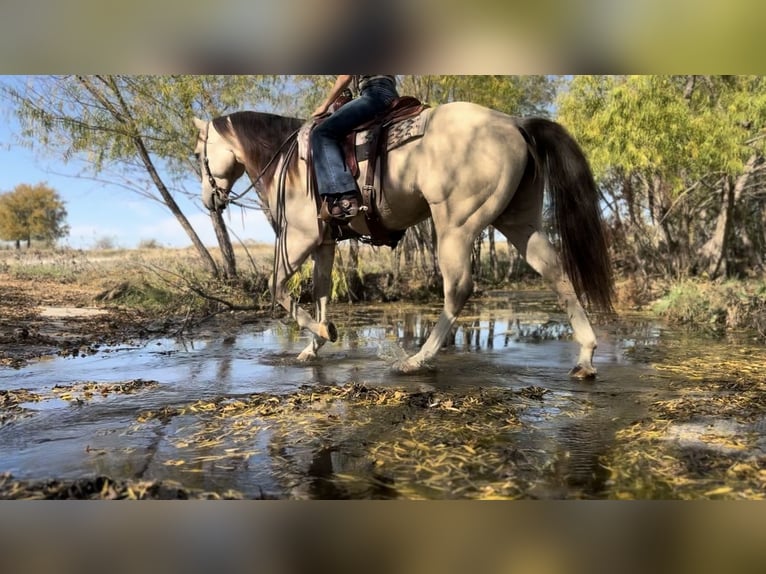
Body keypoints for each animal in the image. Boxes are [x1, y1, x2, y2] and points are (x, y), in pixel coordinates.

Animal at [192, 101, 614, 378]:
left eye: (198, 153)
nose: (209, 200)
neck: (288, 160)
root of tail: (514, 122)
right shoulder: (325, 243)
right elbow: (322, 292)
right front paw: (315, 346)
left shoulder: (300, 239)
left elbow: (277, 287)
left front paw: (322, 334)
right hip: (519, 222)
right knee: (556, 273)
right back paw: (586, 357)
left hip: (455, 225)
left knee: (458, 288)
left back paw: (417, 359)